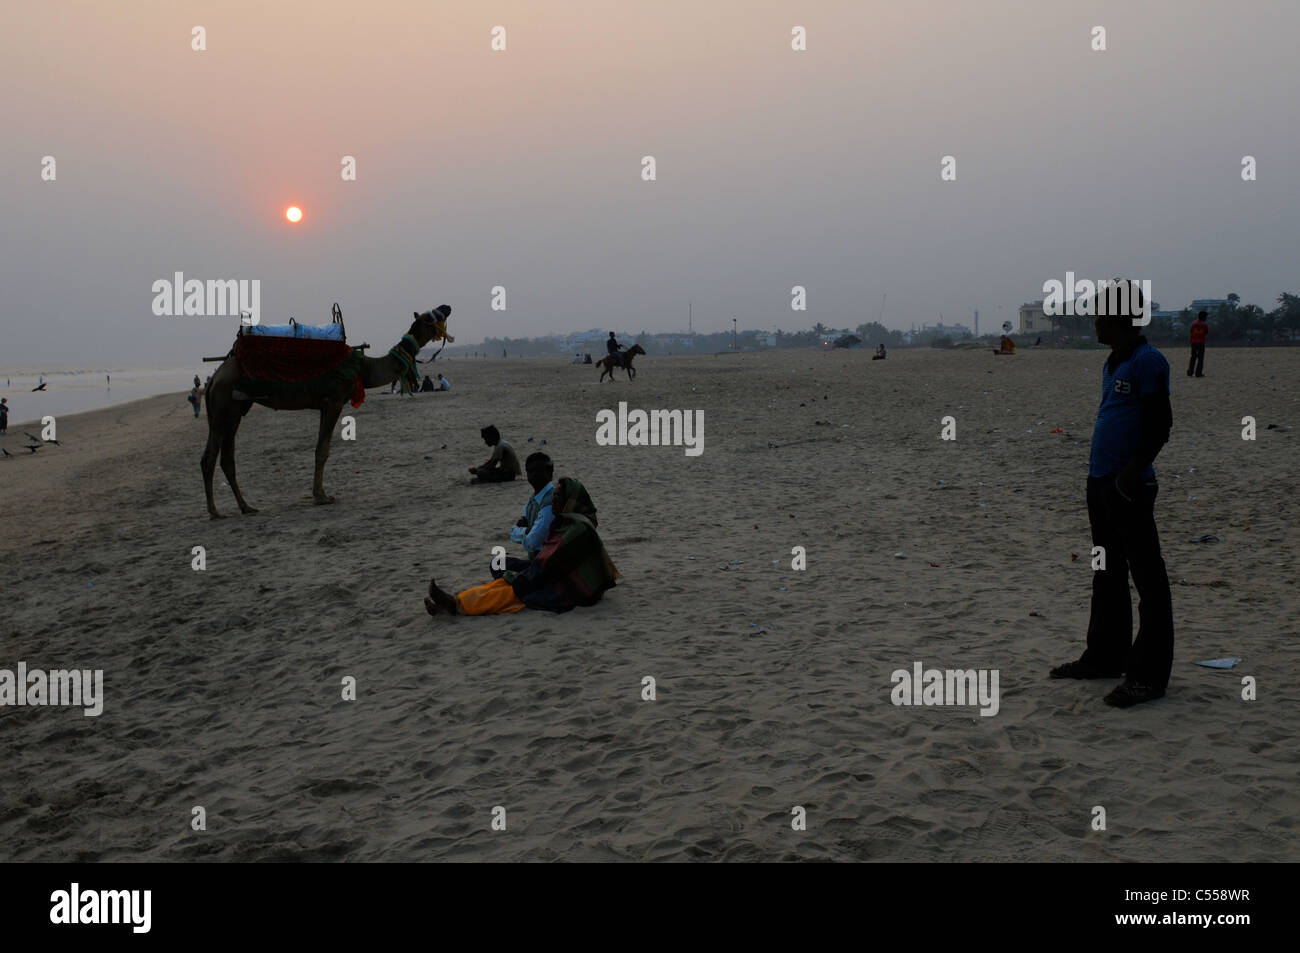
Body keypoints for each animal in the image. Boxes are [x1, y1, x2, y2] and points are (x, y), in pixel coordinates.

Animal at [200, 306, 449, 517]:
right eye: (429, 317)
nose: (446, 307)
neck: (364, 368)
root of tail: (213, 378)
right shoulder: (334, 400)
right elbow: (323, 450)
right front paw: (322, 497)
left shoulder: (324, 404)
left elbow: (321, 448)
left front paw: (319, 494)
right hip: (225, 407)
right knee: (213, 457)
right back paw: (216, 511)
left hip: (234, 410)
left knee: (222, 458)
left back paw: (244, 507)